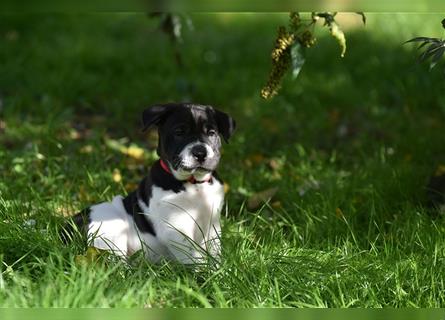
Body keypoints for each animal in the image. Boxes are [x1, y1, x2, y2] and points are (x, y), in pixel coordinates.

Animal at [65, 103, 236, 264]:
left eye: (211, 133)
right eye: (179, 132)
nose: (200, 152)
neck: (194, 184)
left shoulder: (212, 224)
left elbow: (214, 251)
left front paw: (218, 269)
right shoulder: (175, 227)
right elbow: (193, 256)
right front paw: (206, 273)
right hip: (109, 229)